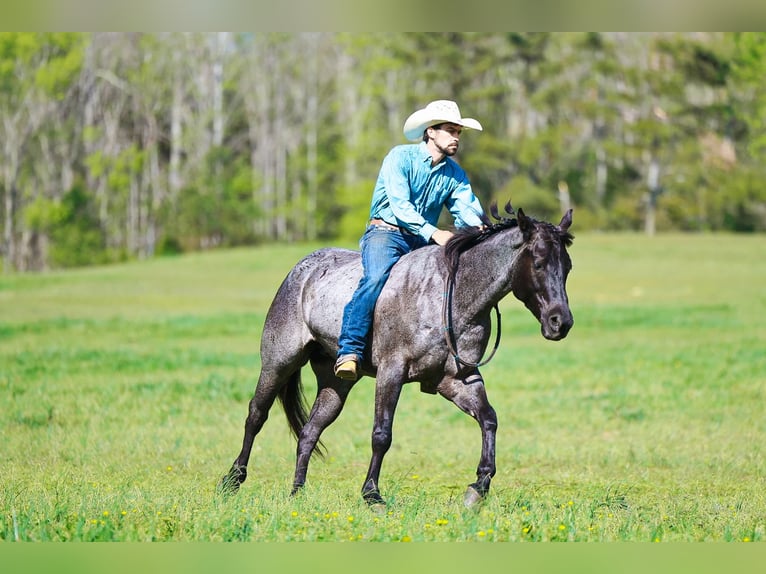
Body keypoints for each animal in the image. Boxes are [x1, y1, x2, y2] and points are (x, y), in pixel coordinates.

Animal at [219, 203, 574, 508]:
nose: (561, 322)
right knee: (256, 415)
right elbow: (382, 434)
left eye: (568, 267)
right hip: (278, 363)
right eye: (539, 263)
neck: (450, 296)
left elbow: (489, 419)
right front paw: (372, 494)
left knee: (309, 432)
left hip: (336, 383)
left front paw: (478, 488)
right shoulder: (392, 372)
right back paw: (232, 480)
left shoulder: (457, 379)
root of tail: (300, 271)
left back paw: (297, 493)